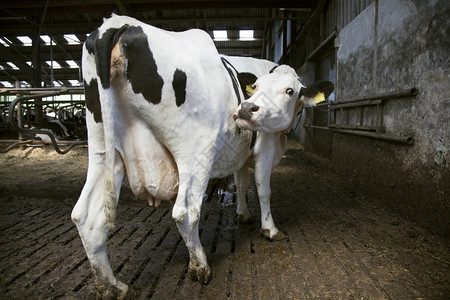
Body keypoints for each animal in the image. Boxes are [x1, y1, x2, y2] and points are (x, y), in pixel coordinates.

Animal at [72, 14, 332, 298]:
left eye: (289, 91)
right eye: (256, 87)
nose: (245, 108)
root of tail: (119, 23)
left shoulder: (241, 152)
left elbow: (241, 183)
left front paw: (243, 214)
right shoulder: (264, 145)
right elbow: (263, 189)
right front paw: (270, 229)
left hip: (103, 149)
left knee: (86, 216)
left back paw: (112, 286)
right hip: (194, 153)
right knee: (185, 212)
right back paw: (201, 267)